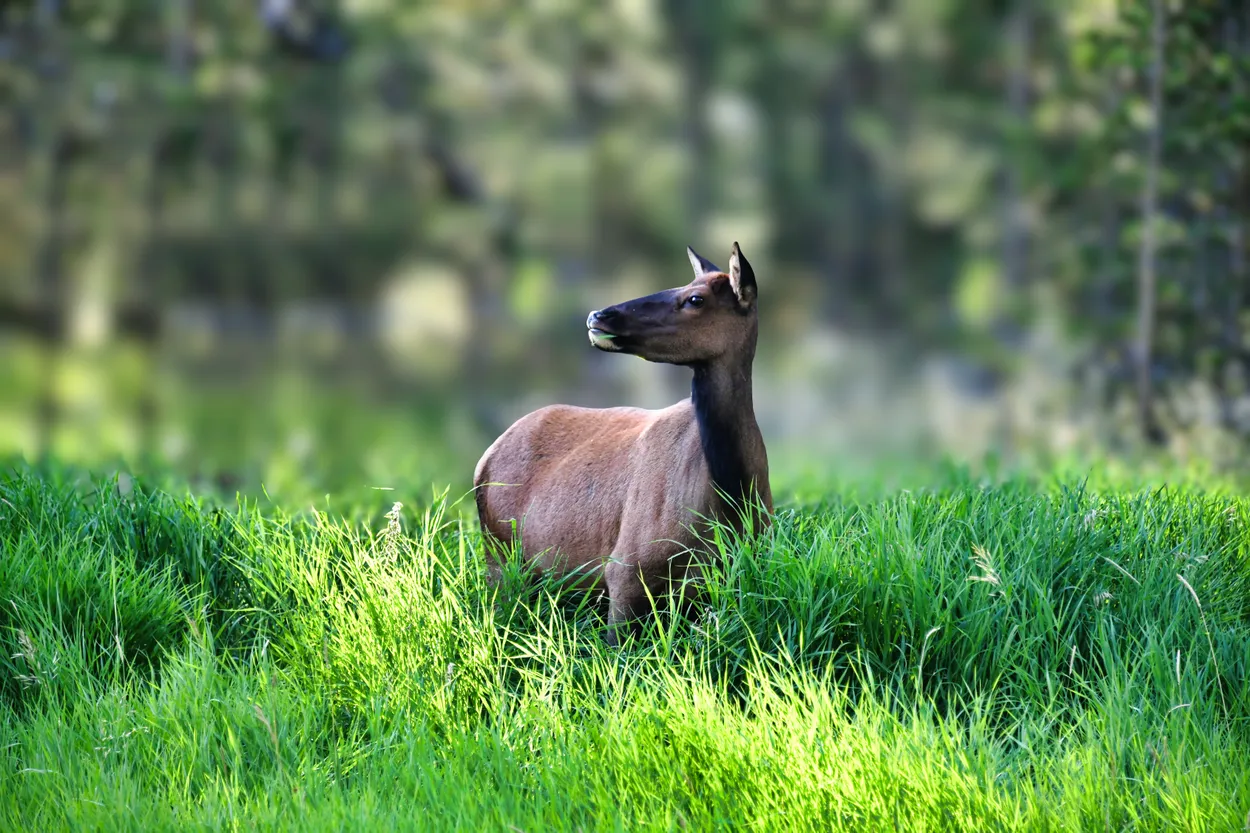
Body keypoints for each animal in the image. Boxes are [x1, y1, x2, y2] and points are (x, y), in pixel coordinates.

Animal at [473, 242, 771, 643]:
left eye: (695, 298)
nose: (599, 314)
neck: (732, 501)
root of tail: (484, 460)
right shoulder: (625, 569)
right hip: (498, 556)